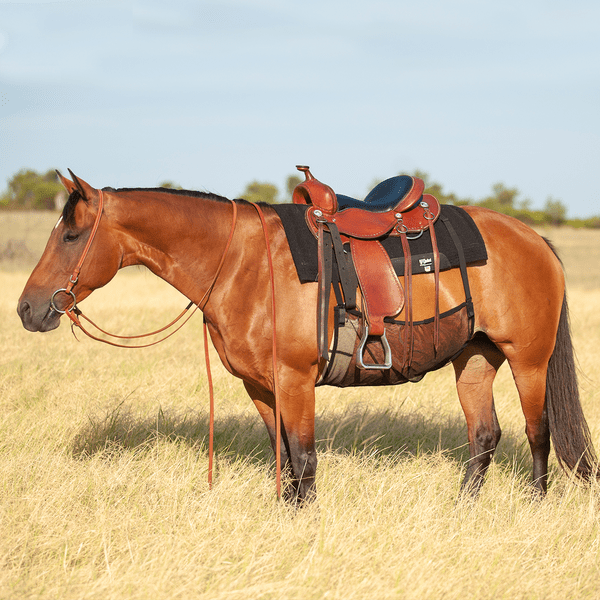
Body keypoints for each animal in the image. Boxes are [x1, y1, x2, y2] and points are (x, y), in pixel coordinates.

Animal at [16, 172, 596, 502]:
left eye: (71, 235)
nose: (27, 309)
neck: (242, 262)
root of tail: (534, 239)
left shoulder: (295, 380)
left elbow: (305, 456)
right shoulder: (260, 386)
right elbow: (284, 458)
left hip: (528, 361)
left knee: (538, 433)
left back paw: (536, 504)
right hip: (474, 359)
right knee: (484, 436)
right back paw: (464, 508)